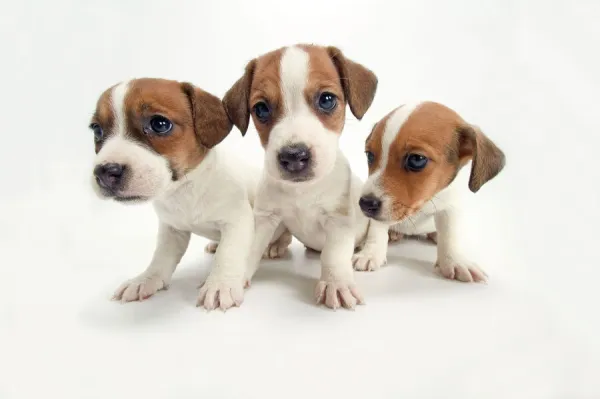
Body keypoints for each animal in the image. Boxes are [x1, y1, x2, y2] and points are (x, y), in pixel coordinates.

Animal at [89, 78, 292, 312]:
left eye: (160, 124)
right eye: (97, 130)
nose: (104, 172)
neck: (185, 189)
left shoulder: (237, 222)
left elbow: (228, 254)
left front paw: (220, 284)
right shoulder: (172, 230)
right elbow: (161, 258)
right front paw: (146, 279)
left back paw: (275, 247)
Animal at [223, 44, 382, 312]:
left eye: (327, 100)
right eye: (261, 109)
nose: (294, 156)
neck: (302, 191)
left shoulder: (338, 221)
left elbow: (334, 254)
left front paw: (336, 283)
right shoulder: (265, 218)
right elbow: (248, 248)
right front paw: (227, 280)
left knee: (378, 234)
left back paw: (370, 254)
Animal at [356, 103, 506, 284]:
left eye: (416, 159)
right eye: (370, 156)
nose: (365, 204)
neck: (424, 203)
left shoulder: (450, 208)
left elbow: (449, 234)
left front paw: (455, 261)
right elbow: (377, 230)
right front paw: (370, 253)